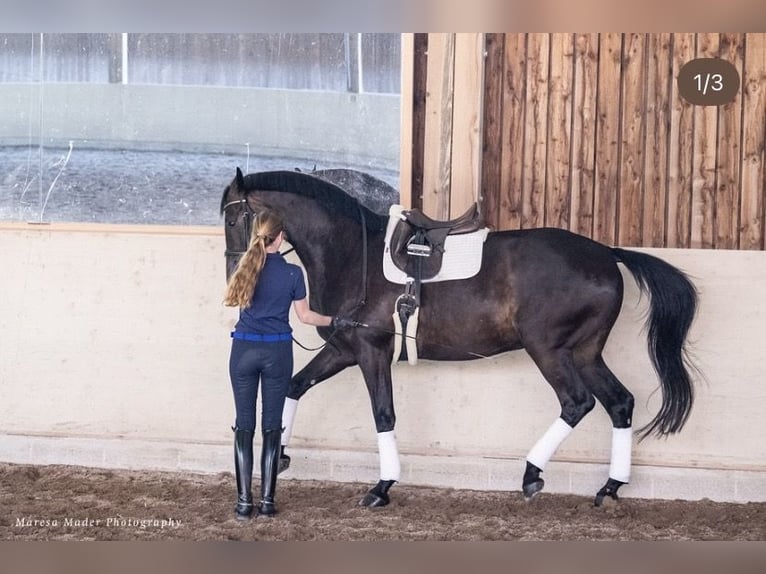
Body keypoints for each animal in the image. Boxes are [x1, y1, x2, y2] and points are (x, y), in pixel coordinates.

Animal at [220, 167, 700, 508]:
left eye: (233, 216)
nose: (233, 272)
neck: (352, 253)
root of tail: (606, 254)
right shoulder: (342, 348)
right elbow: (296, 386)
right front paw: (281, 454)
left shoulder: (371, 351)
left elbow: (383, 415)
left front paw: (382, 487)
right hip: (585, 351)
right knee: (619, 403)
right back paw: (610, 487)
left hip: (549, 349)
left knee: (577, 403)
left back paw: (532, 474)